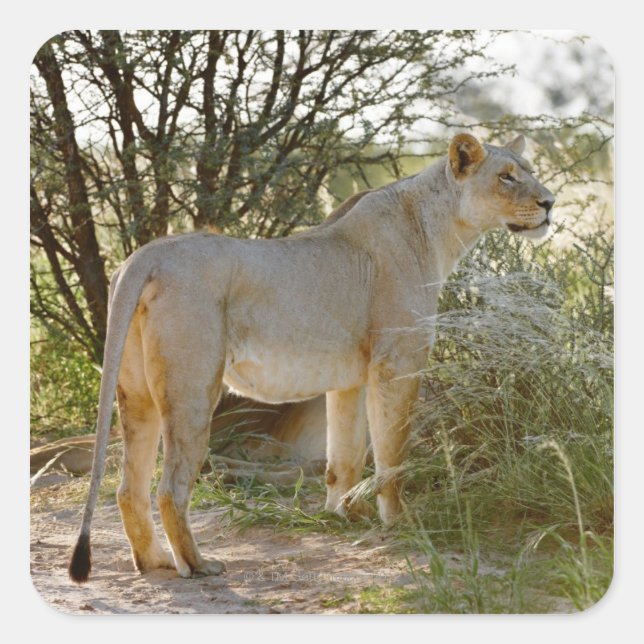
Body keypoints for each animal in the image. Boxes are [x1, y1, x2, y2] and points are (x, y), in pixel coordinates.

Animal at [68, 133, 554, 582]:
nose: (549, 203)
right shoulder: (398, 362)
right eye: (506, 177)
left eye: (530, 170)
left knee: (128, 488)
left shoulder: (351, 377)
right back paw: (198, 565)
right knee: (170, 487)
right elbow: (393, 455)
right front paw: (399, 522)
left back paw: (155, 562)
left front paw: (342, 515)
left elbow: (345, 457)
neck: (439, 228)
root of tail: (145, 255)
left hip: (136, 393)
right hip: (193, 387)